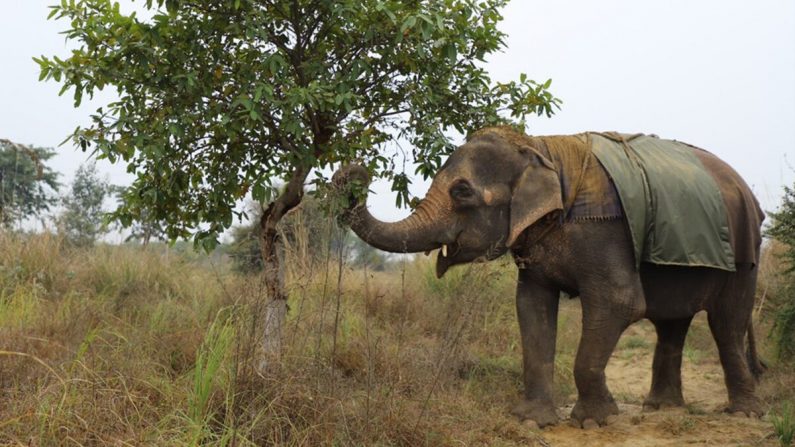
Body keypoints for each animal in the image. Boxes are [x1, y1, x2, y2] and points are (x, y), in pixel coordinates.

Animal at [332, 125, 768, 428]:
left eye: (462, 192)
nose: (356, 170)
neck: (539, 150)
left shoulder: (605, 232)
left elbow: (620, 302)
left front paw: (595, 421)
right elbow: (532, 306)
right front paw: (531, 420)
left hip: (745, 254)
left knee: (726, 324)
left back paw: (743, 414)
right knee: (671, 323)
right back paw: (663, 408)